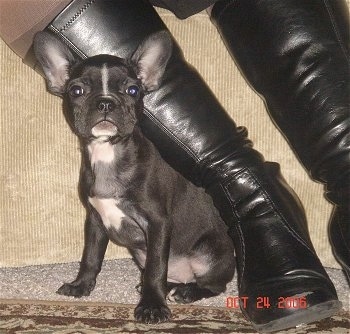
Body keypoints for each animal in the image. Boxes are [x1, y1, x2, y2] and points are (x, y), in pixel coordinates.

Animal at [34, 30, 234, 324]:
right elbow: (91, 256)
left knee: (213, 284)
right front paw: (81, 285)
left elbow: (155, 267)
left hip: (209, 253)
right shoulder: (94, 220)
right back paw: (170, 287)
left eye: (132, 90)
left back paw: (186, 292)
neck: (108, 152)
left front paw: (152, 306)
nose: (106, 101)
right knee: (168, 274)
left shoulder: (157, 223)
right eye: (76, 91)